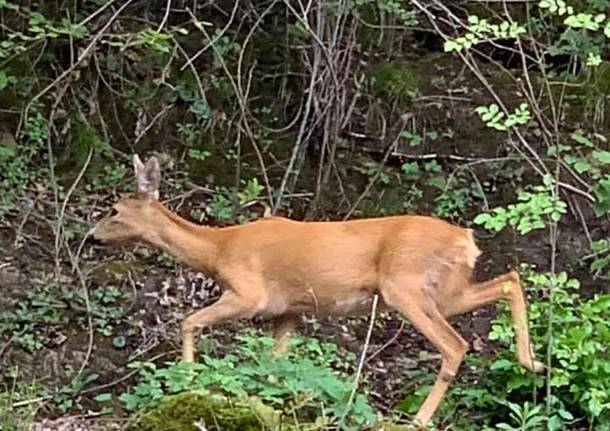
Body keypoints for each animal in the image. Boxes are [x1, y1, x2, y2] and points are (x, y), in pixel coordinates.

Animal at [94, 154, 540, 426]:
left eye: (114, 210)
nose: (92, 236)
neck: (218, 249)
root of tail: (466, 239)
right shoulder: (289, 310)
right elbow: (275, 365)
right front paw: (278, 405)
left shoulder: (249, 293)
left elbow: (189, 321)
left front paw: (187, 381)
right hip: (446, 290)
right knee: (510, 280)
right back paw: (532, 362)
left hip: (405, 287)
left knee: (454, 345)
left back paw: (418, 419)